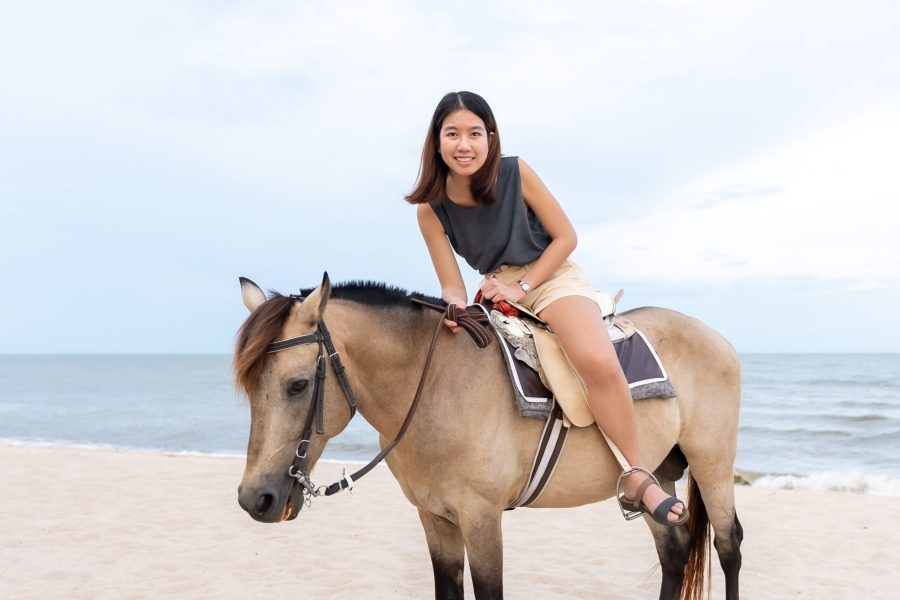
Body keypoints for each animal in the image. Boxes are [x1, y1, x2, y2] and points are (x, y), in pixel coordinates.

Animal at [234, 274, 743, 600]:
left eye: (298, 385)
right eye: (249, 386)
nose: (255, 499)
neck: (435, 386)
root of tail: (716, 336)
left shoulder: (481, 519)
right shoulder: (434, 518)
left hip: (712, 464)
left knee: (728, 546)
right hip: (657, 473)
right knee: (674, 550)